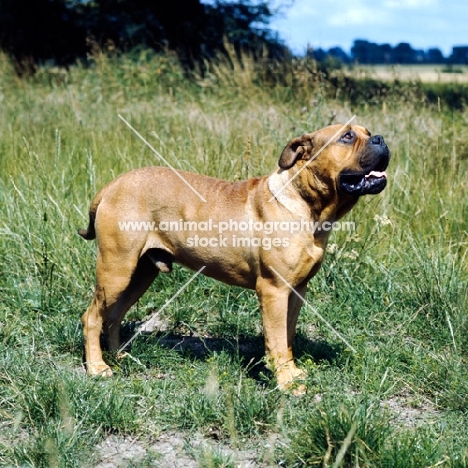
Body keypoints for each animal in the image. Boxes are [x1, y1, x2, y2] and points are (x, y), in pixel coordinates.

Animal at [78, 122, 390, 390]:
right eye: (347, 136)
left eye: (368, 132)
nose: (381, 138)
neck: (307, 205)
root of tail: (111, 186)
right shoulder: (274, 290)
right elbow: (276, 340)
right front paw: (285, 382)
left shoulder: (296, 290)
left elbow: (287, 336)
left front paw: (292, 372)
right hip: (116, 269)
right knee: (92, 317)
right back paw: (97, 367)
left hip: (141, 273)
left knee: (114, 315)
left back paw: (118, 357)